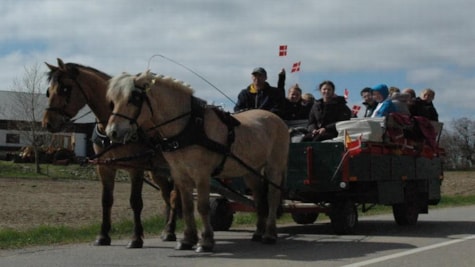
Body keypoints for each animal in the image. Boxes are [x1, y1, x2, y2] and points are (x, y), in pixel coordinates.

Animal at [40, 59, 178, 249]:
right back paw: (167, 229)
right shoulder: (105, 167)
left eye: (65, 88)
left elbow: (135, 202)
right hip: (157, 171)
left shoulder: (136, 168)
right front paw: (103, 236)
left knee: (174, 195)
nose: (48, 123)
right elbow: (106, 200)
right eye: (48, 91)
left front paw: (136, 238)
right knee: (167, 194)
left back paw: (171, 231)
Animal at [105, 71, 290, 253]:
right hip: (251, 170)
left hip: (274, 167)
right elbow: (188, 207)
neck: (188, 125)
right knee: (259, 198)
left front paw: (206, 241)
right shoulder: (180, 174)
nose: (112, 132)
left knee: (273, 197)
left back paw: (270, 234)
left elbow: (202, 206)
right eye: (113, 101)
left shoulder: (202, 174)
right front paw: (188, 239)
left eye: (134, 98)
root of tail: (277, 118)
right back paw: (258, 232)